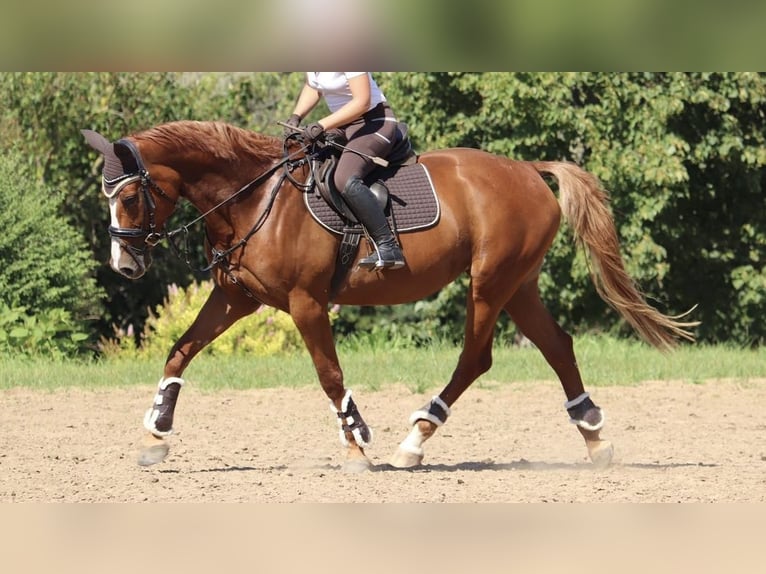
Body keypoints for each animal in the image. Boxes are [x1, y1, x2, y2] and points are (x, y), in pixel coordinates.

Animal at [82, 120, 696, 472]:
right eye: (107, 196)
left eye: (130, 197)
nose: (125, 264)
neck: (253, 197)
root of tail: (527, 169)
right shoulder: (236, 299)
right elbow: (180, 351)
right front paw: (156, 434)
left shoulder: (306, 303)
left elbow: (329, 375)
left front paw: (356, 444)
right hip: (518, 284)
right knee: (557, 346)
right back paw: (594, 439)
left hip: (490, 282)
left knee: (476, 357)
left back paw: (415, 441)